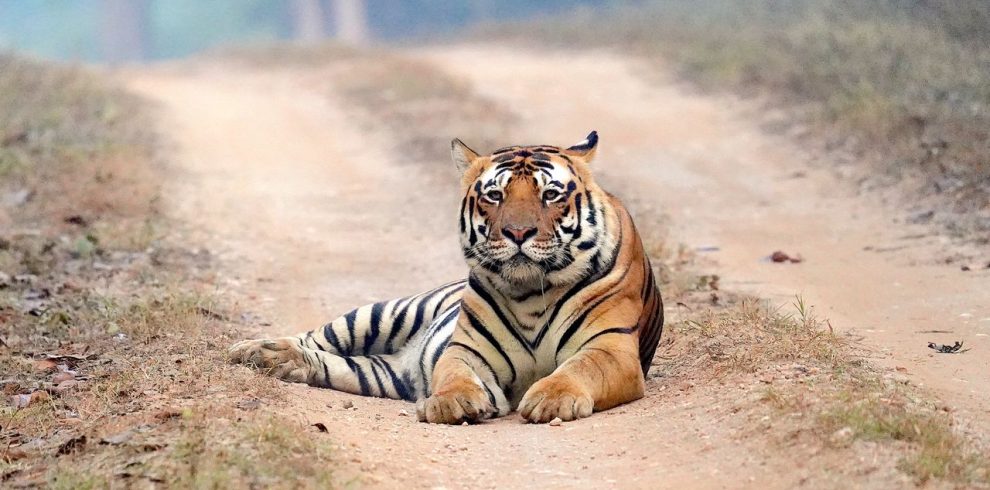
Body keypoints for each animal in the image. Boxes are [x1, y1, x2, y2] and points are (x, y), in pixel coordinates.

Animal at [228, 131, 664, 424]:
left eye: (551, 195)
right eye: (494, 196)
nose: (518, 232)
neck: (530, 294)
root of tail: (402, 360)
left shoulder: (611, 348)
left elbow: (578, 369)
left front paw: (551, 399)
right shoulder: (467, 349)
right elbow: (455, 374)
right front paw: (452, 402)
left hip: (380, 374)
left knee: (335, 363)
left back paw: (279, 362)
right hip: (382, 313)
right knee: (318, 337)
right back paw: (256, 350)